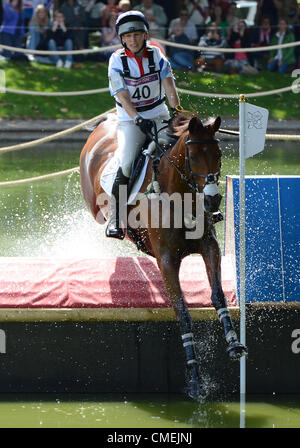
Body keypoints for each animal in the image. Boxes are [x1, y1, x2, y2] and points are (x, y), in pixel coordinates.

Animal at [79, 112, 246, 400]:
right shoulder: (167, 261)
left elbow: (218, 295)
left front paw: (234, 344)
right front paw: (195, 380)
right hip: (95, 207)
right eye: (193, 157)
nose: (213, 201)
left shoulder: (210, 247)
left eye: (218, 154)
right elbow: (183, 313)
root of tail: (105, 122)